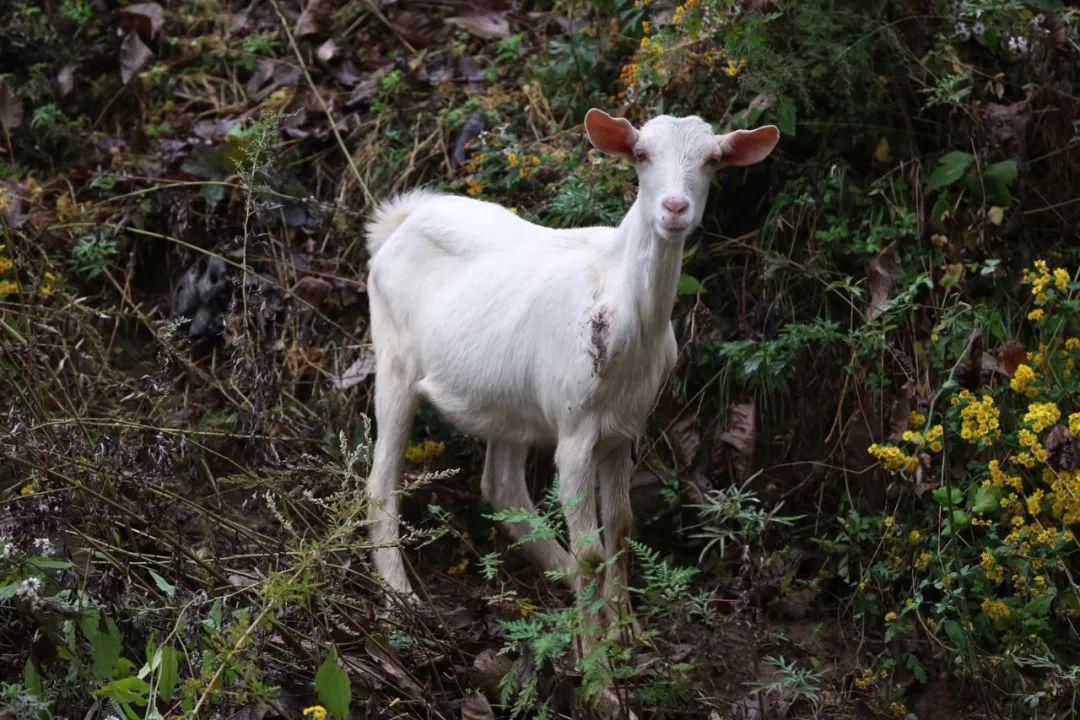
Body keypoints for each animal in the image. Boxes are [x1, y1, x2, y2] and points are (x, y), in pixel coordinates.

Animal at [362, 108, 777, 613]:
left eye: (713, 160)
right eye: (642, 154)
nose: (675, 208)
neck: (622, 303)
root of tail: (398, 221)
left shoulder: (624, 428)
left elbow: (620, 529)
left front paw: (624, 623)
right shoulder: (575, 430)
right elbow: (591, 550)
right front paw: (596, 634)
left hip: (510, 401)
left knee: (503, 487)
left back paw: (561, 576)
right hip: (394, 358)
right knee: (382, 481)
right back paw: (399, 596)